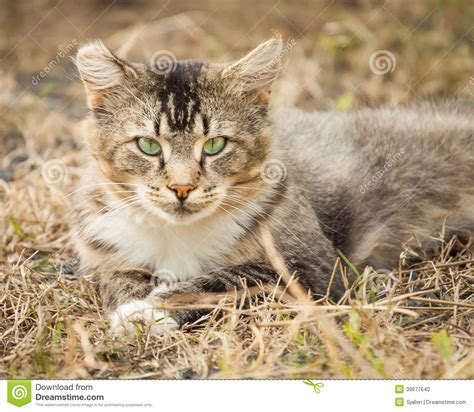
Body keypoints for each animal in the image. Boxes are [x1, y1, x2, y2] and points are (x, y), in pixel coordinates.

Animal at [71, 37, 474, 336]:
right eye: (148, 146)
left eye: (215, 145)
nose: (182, 188)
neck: (178, 233)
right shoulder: (105, 253)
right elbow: (120, 279)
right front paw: (133, 306)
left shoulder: (311, 267)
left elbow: (218, 281)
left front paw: (148, 310)